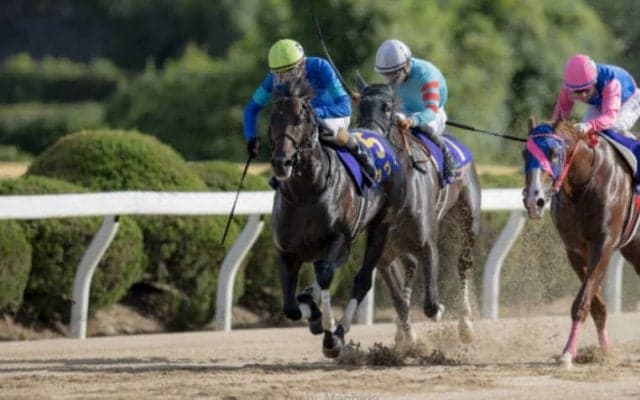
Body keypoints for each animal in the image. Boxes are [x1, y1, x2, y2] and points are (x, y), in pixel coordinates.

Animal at [268, 76, 404, 357]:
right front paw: (312, 313)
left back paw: (340, 330)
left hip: (380, 226)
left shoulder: (338, 240)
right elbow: (291, 307)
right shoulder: (286, 251)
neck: (306, 193)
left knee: (361, 280)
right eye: (273, 118)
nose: (281, 162)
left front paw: (331, 335)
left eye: (300, 120)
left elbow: (326, 279)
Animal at [351, 79, 481, 347]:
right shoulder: (383, 255)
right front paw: (408, 337)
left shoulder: (428, 244)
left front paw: (437, 313)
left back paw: (465, 325)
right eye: (360, 107)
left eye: (387, 107)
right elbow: (399, 300)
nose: (367, 145)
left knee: (463, 264)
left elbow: (431, 304)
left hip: (468, 218)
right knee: (409, 269)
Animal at [523, 118, 640, 367]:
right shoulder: (575, 249)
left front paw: (568, 353)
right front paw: (604, 351)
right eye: (525, 153)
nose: (534, 200)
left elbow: (583, 301)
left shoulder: (603, 244)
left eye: (553, 152)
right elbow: (596, 305)